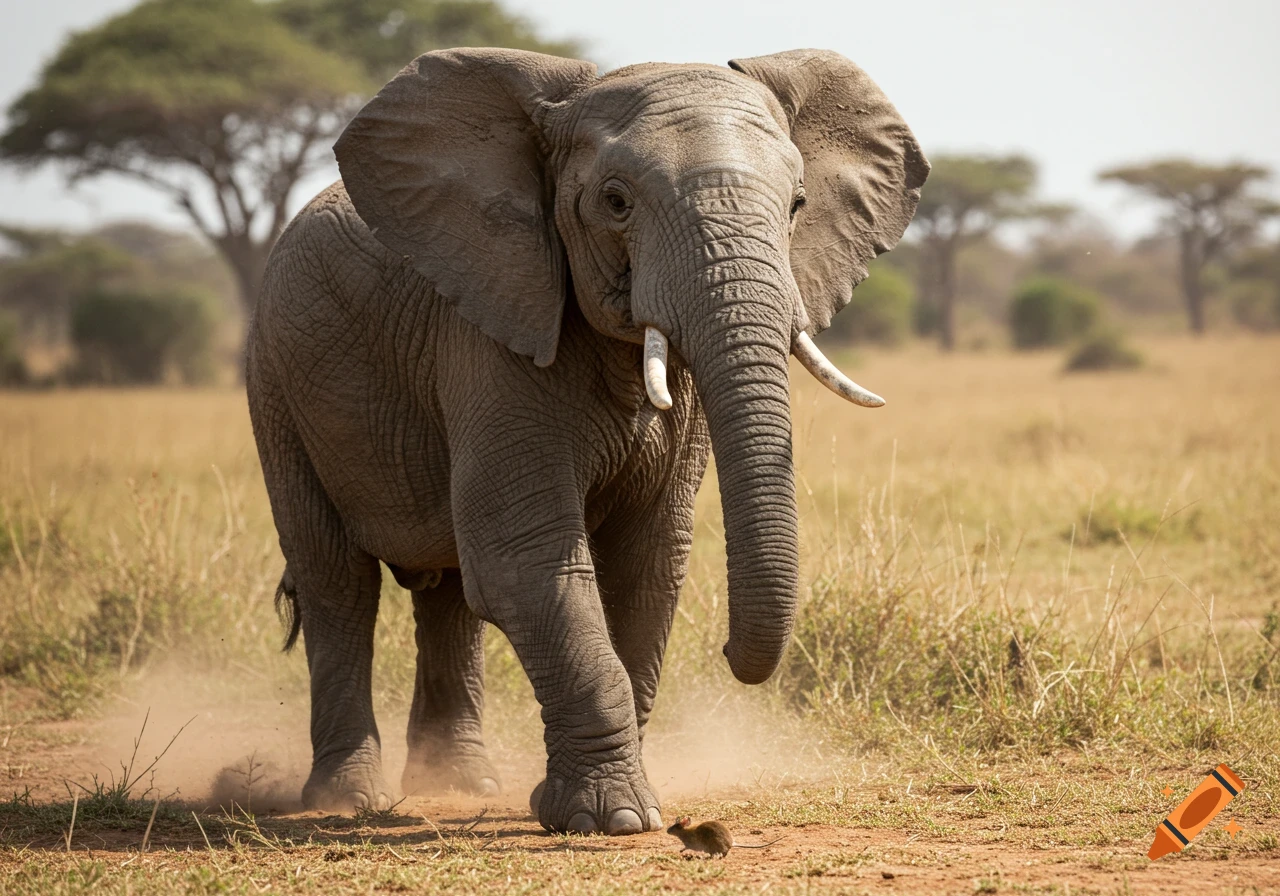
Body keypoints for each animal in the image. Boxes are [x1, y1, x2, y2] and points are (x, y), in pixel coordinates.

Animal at [246, 46, 927, 835]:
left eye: (796, 205)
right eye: (615, 201)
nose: (731, 651)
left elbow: (647, 563)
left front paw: (620, 802)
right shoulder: (489, 333)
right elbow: (527, 559)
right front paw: (613, 819)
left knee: (447, 592)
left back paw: (461, 784)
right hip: (276, 382)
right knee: (338, 582)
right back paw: (347, 799)